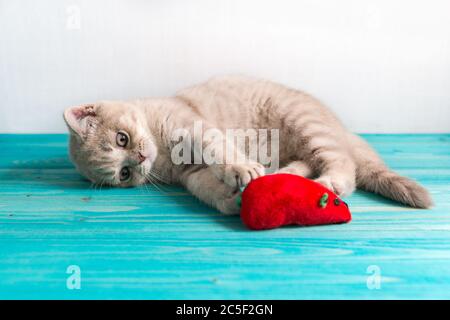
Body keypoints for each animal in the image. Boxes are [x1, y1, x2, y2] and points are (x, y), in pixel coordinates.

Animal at [63, 75, 432, 214]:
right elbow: (206, 188)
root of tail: (340, 126)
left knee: (343, 164)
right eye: (124, 174)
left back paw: (329, 185)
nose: (140, 158)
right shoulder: (191, 174)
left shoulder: (194, 127)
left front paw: (240, 169)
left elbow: (219, 150)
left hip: (304, 123)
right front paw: (233, 199)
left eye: (121, 138)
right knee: (309, 161)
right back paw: (283, 175)